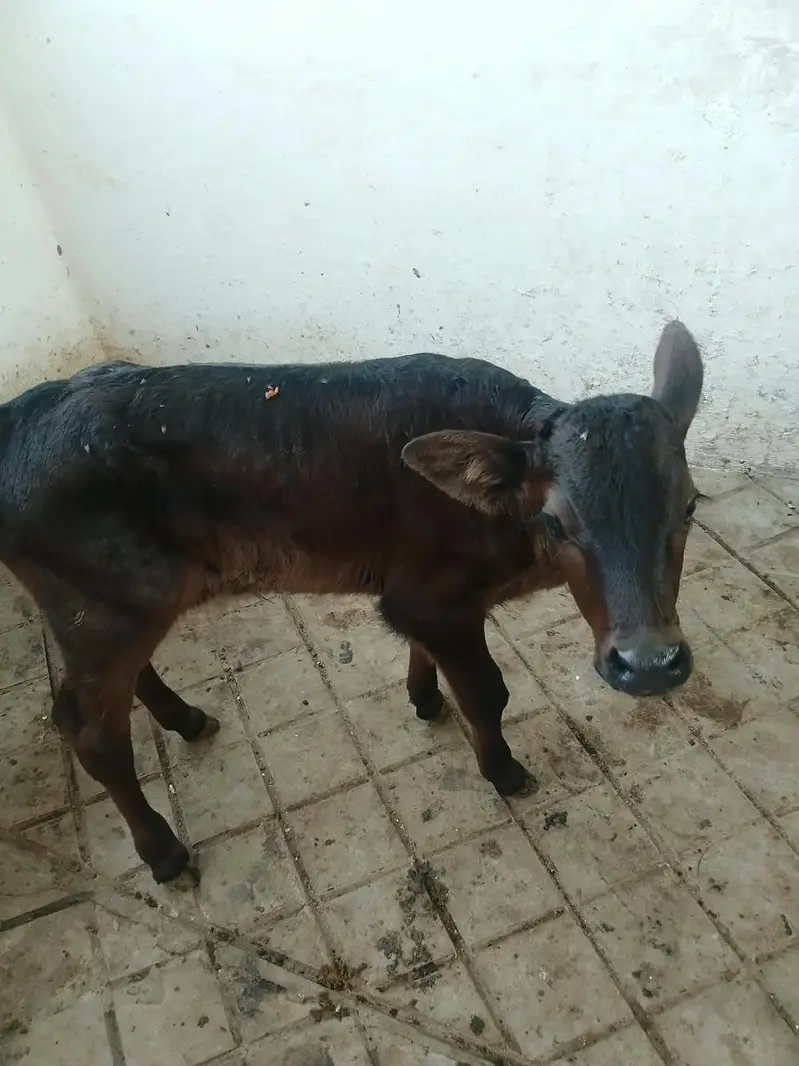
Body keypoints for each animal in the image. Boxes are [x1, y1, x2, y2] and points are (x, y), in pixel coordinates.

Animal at [0, 321, 703, 883]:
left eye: (691, 505)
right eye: (556, 521)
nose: (648, 664)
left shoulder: (422, 595)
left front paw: (424, 698)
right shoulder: (432, 598)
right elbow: (487, 693)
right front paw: (503, 770)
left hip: (115, 607)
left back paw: (186, 719)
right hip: (104, 606)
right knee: (89, 729)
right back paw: (164, 853)